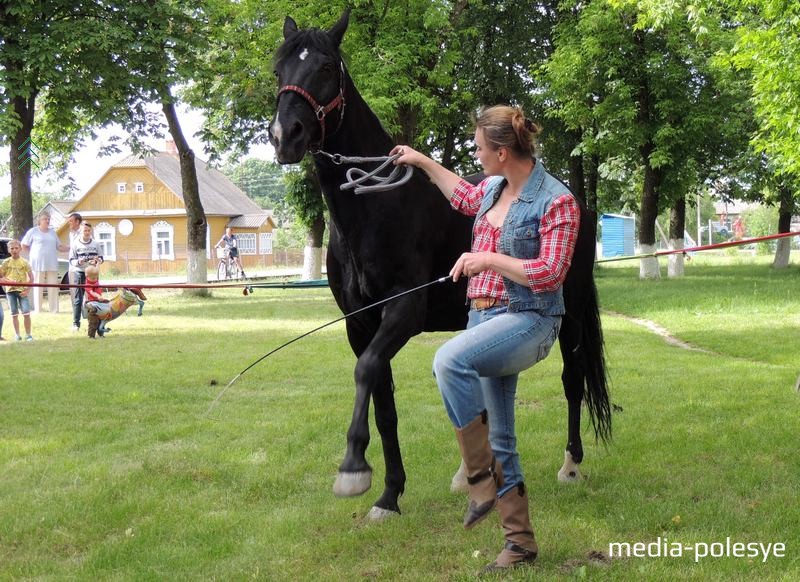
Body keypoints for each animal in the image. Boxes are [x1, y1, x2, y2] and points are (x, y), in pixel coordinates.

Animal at [266, 9, 608, 520]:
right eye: (278, 70)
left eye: (326, 67)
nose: (286, 136)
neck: (376, 208)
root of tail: (578, 202)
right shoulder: (360, 324)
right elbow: (382, 402)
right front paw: (389, 494)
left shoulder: (402, 313)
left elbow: (365, 373)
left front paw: (353, 469)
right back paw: (471, 474)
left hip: (571, 314)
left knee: (573, 378)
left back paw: (570, 465)